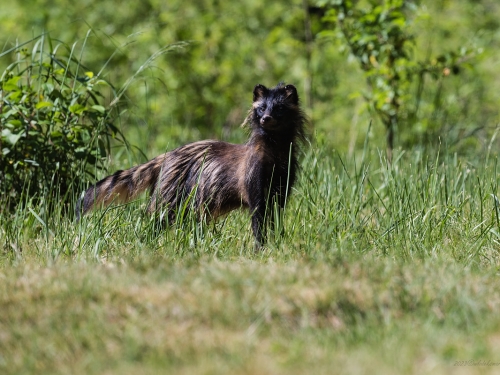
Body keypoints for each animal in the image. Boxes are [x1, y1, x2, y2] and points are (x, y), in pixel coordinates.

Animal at [76, 83, 306, 247]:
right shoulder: (253, 176)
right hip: (172, 191)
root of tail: (166, 157)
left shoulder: (283, 180)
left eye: (280, 108)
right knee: (157, 217)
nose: (266, 118)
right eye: (261, 108)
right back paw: (146, 240)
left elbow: (276, 214)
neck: (275, 151)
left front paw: (276, 240)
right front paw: (261, 246)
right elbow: (258, 215)